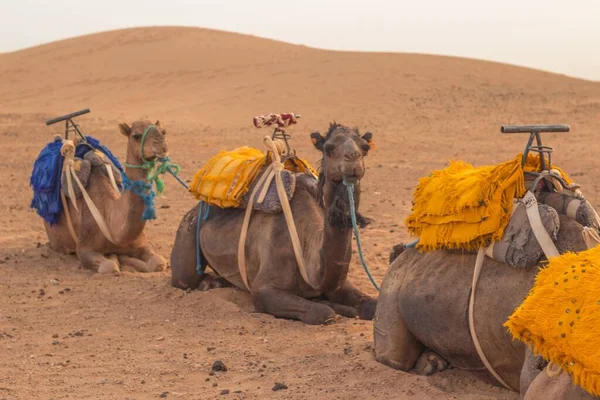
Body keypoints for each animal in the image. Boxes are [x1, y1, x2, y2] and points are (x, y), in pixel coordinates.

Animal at [44, 120, 168, 274]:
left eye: (163, 131)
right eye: (136, 135)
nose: (161, 145)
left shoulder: (142, 244)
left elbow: (158, 263)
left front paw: (125, 259)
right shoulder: (84, 248)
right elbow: (109, 266)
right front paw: (116, 258)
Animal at [169, 122, 376, 324]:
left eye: (365, 147)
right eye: (328, 148)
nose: (353, 159)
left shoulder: (338, 283)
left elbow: (371, 307)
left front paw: (349, 308)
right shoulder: (264, 289)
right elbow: (323, 312)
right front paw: (333, 308)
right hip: (187, 232)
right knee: (184, 279)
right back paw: (207, 283)